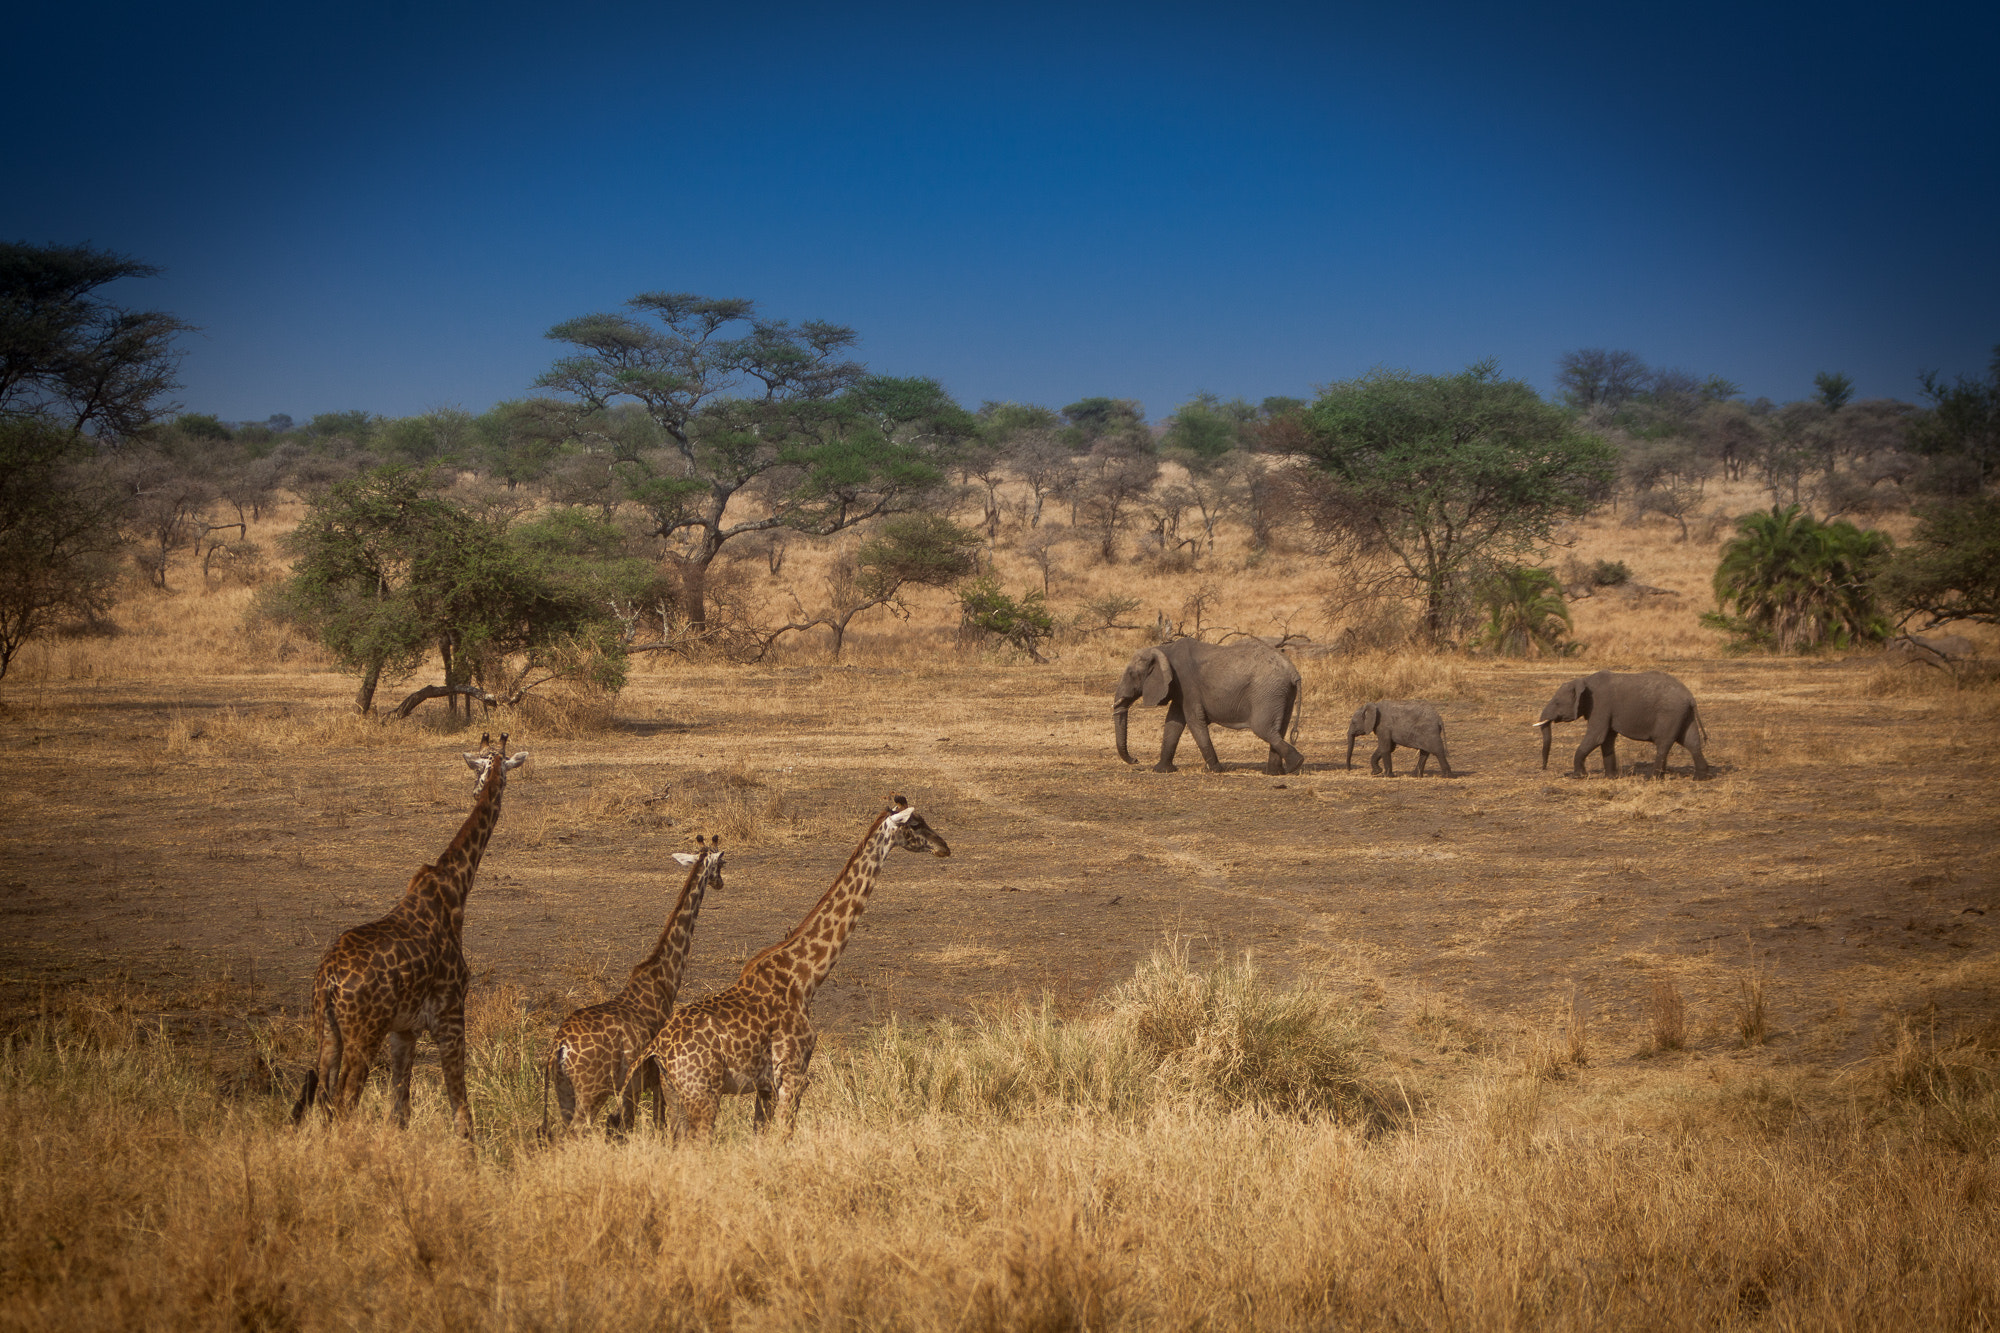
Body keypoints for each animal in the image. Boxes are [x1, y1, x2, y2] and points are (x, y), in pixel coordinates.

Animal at [290, 732, 528, 1136]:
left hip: (328, 1032)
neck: (454, 887)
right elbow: (460, 1110)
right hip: (364, 1034)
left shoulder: (404, 1029)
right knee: (344, 1102)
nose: (480, 790)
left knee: (325, 1102)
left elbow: (399, 1111)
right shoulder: (450, 1014)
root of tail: (328, 982)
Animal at [544, 832, 732, 1128]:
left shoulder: (638, 1082)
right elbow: (660, 1122)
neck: (665, 978)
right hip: (592, 1091)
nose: (720, 883)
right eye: (722, 864)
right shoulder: (655, 1076)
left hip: (563, 1090)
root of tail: (559, 1047)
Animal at [640, 792, 952, 1136]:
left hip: (674, 1094)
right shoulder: (792, 1073)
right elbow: (783, 1135)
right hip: (702, 1092)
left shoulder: (765, 1085)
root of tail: (657, 1049)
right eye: (916, 823)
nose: (944, 846)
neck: (805, 976)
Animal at [1104, 640, 1304, 772]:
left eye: (1131, 674)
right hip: (1281, 692)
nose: (1136, 760)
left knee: (1263, 729)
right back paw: (1275, 772)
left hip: (1267, 692)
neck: (1163, 649)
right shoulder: (1179, 688)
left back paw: (1295, 764)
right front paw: (1162, 770)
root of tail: (1293, 672)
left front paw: (1215, 770)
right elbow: (1173, 723)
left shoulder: (1187, 684)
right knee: (1278, 729)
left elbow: (1194, 721)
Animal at [1536, 664, 1712, 780]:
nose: (1543, 768)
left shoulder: (1600, 705)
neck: (1584, 680)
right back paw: (1700, 778)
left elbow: (1596, 737)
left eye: (1557, 703)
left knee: (1663, 744)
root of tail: (1690, 697)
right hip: (1685, 714)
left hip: (1670, 714)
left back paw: (1651, 778)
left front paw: (1578, 776)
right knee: (1691, 742)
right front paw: (1611, 777)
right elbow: (1607, 740)